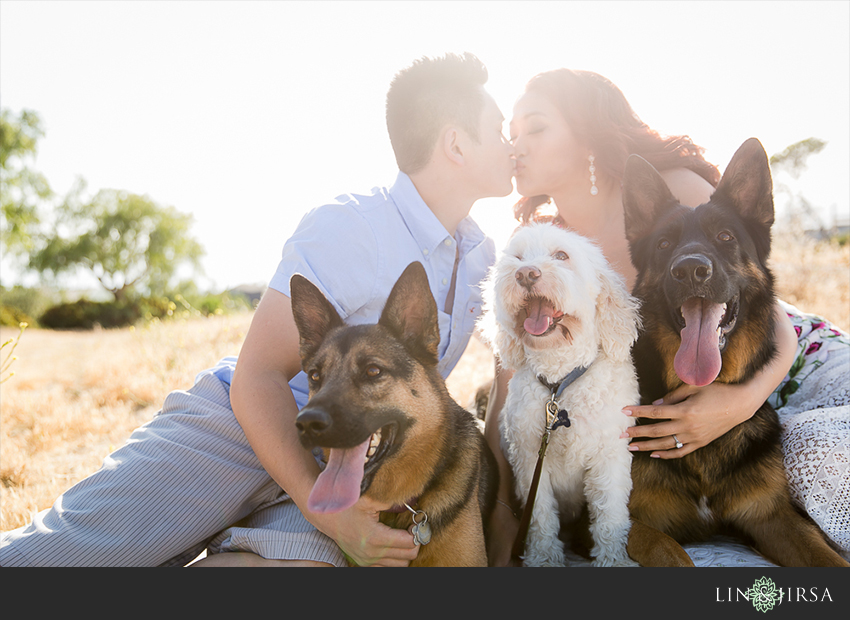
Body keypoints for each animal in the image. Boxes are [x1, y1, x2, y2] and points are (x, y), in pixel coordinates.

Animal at [480, 223, 640, 568]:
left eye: (562, 256)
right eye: (518, 258)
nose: (526, 273)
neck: (559, 384)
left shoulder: (609, 458)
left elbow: (609, 516)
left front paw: (613, 559)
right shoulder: (530, 462)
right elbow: (540, 517)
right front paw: (543, 558)